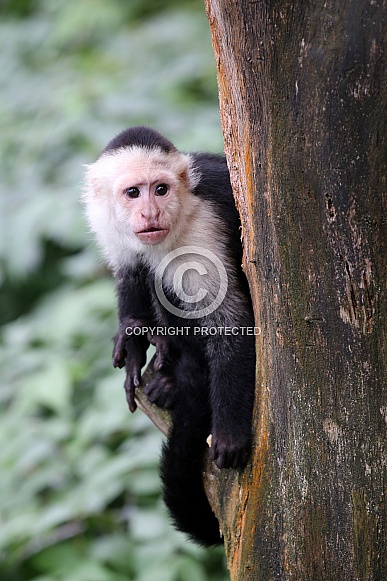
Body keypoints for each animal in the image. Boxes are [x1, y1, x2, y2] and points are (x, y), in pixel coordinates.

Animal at [83, 124, 256, 548]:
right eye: (133, 193)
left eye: (160, 189)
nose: (150, 212)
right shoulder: (107, 225)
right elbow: (130, 270)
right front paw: (133, 339)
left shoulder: (201, 233)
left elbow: (230, 323)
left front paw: (229, 433)